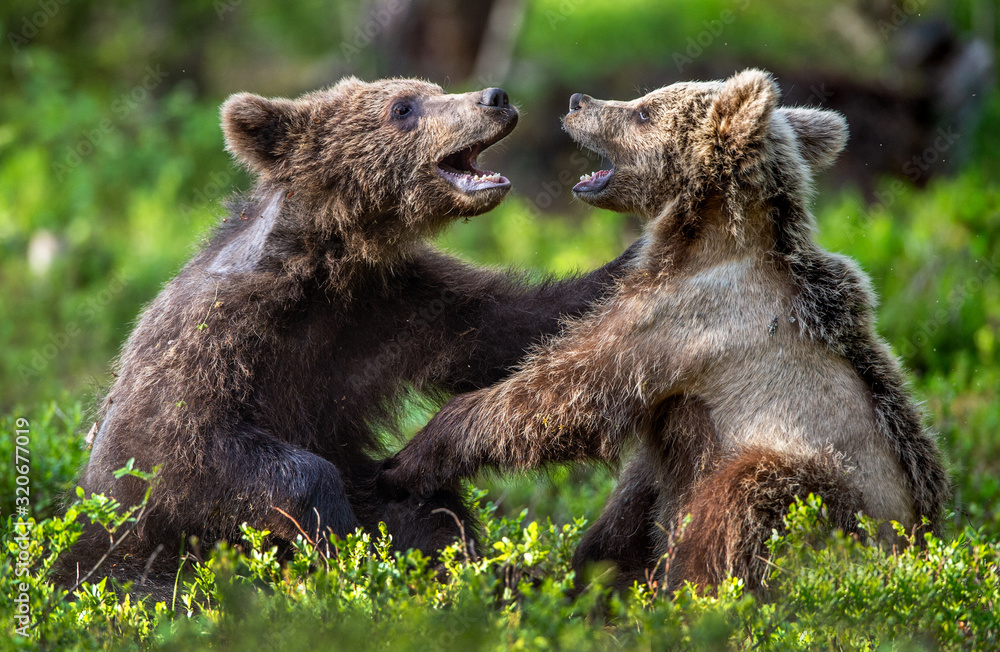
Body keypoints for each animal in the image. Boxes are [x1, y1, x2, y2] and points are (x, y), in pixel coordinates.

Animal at [62, 77, 639, 590]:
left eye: (434, 89)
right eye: (403, 107)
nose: (495, 98)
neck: (327, 266)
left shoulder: (391, 308)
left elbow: (511, 326)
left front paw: (631, 255)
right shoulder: (215, 341)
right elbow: (181, 447)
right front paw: (333, 532)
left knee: (427, 514)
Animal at [383, 69, 951, 593]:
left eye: (643, 111)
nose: (578, 100)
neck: (696, 240)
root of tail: (916, 557)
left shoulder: (682, 323)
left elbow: (563, 395)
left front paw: (412, 455)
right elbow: (635, 488)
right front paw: (594, 568)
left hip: (831, 502)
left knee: (742, 498)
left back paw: (694, 594)